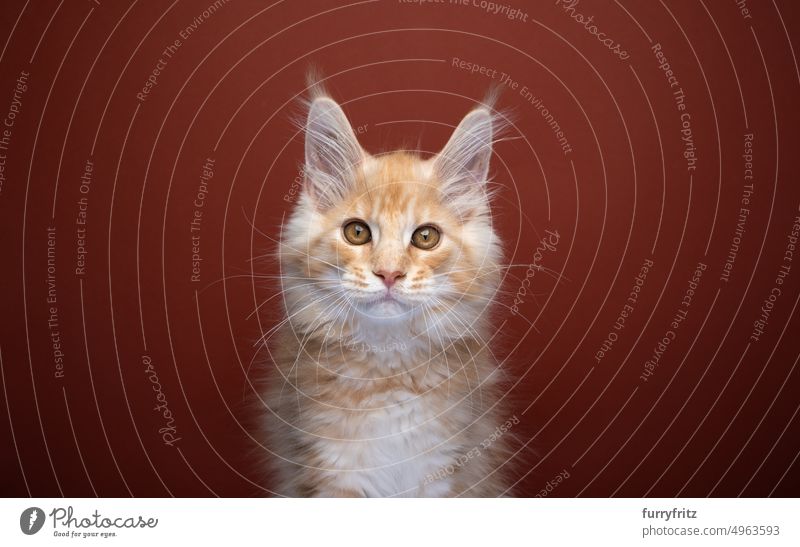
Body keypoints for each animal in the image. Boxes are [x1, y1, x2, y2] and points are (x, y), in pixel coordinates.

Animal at [262, 84, 512, 496]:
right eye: (357, 232)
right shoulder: (330, 469)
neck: (386, 375)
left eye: (426, 237)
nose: (390, 273)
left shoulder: (446, 467)